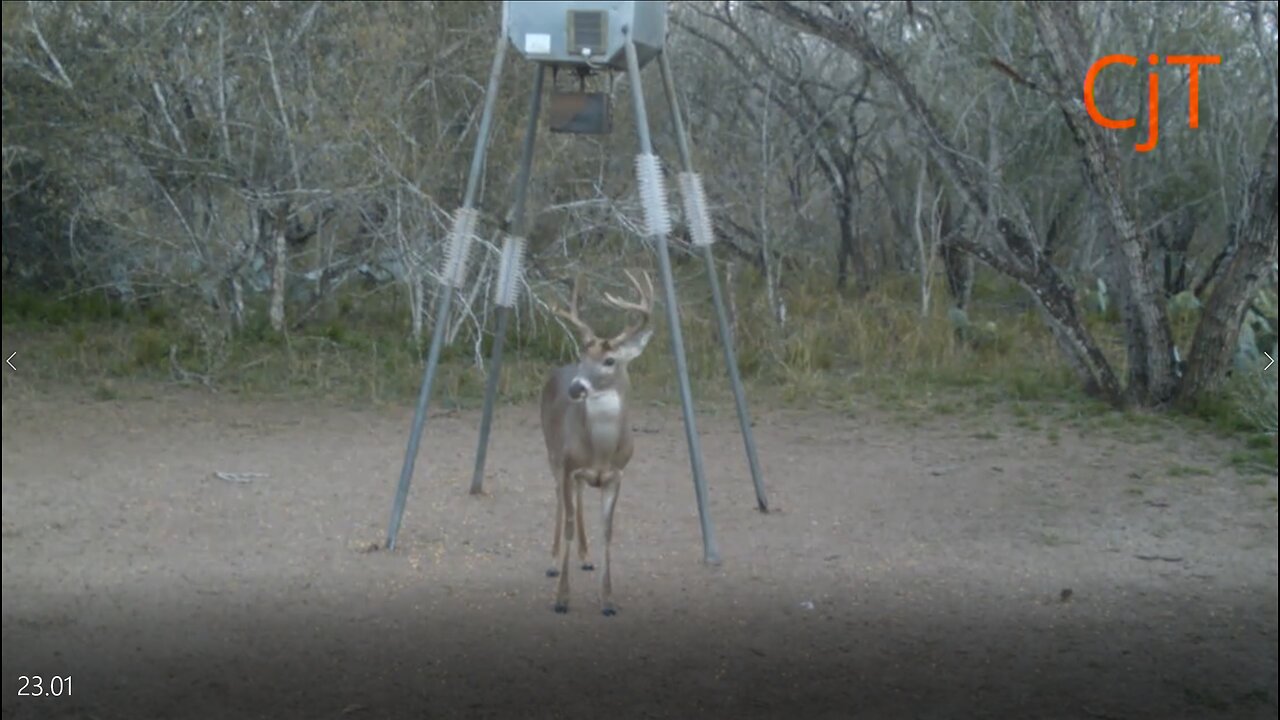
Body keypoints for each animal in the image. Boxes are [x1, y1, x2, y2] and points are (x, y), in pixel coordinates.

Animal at [542, 266, 660, 614]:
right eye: (582, 355)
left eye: (609, 361)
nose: (576, 387)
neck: (602, 451)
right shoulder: (569, 465)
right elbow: (568, 524)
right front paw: (561, 598)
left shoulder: (616, 474)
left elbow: (607, 531)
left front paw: (607, 599)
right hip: (552, 453)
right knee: (559, 500)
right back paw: (553, 562)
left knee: (579, 498)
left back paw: (586, 557)